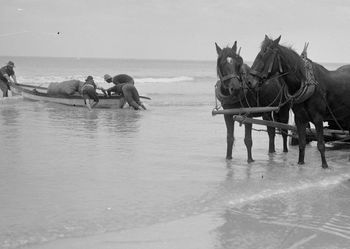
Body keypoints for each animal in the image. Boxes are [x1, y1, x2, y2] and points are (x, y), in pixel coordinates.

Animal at [249, 35, 350, 168]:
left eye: (265, 54)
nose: (250, 82)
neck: (306, 81)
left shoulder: (318, 118)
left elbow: (321, 144)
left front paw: (324, 165)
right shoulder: (300, 118)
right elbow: (302, 143)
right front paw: (300, 163)